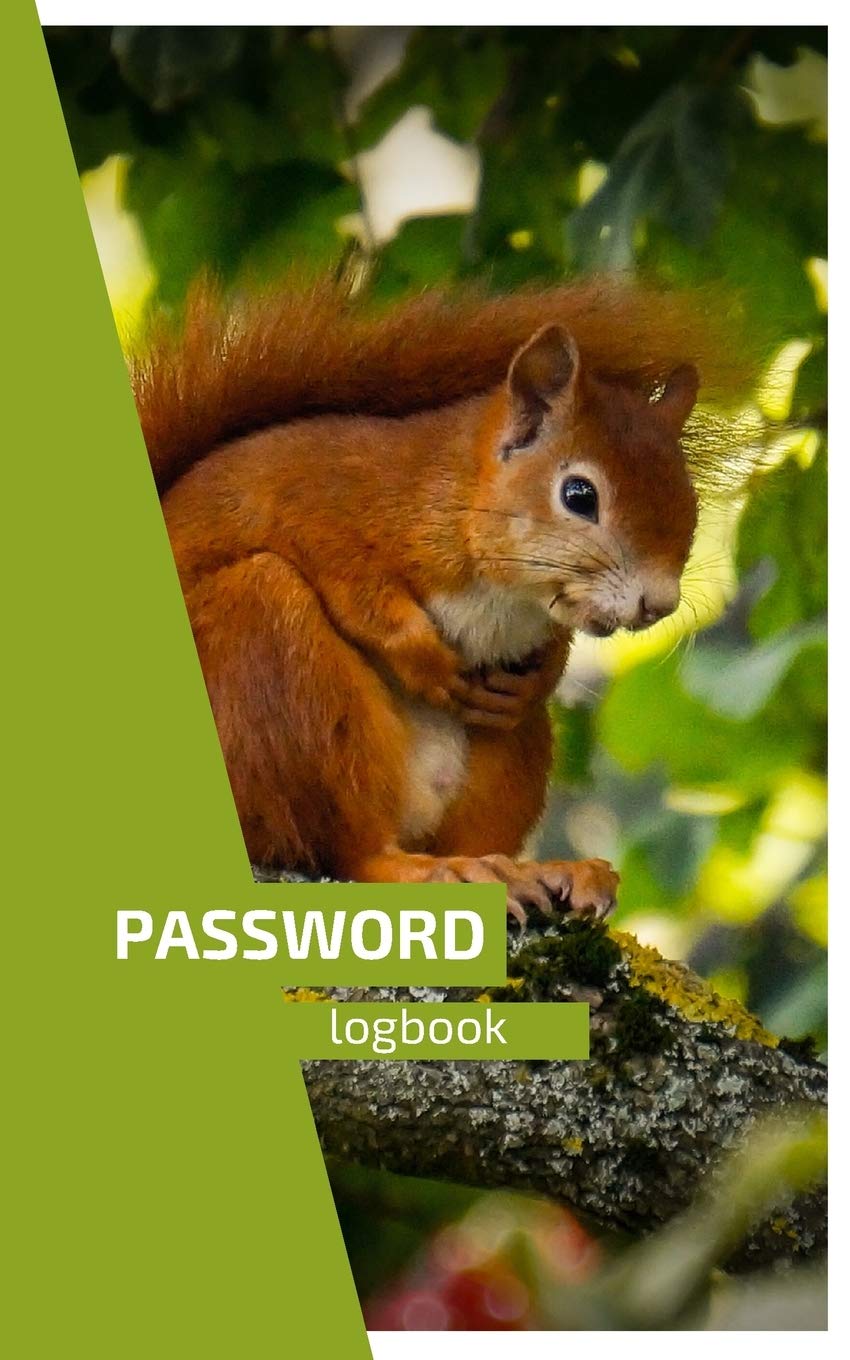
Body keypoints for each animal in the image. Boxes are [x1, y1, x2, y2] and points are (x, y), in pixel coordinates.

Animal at [132, 275, 750, 922]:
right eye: (579, 495)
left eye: (689, 501)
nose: (658, 604)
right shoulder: (306, 497)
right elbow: (351, 582)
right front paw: (422, 656)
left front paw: (540, 674)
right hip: (262, 664)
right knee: (347, 850)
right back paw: (417, 869)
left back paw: (528, 870)